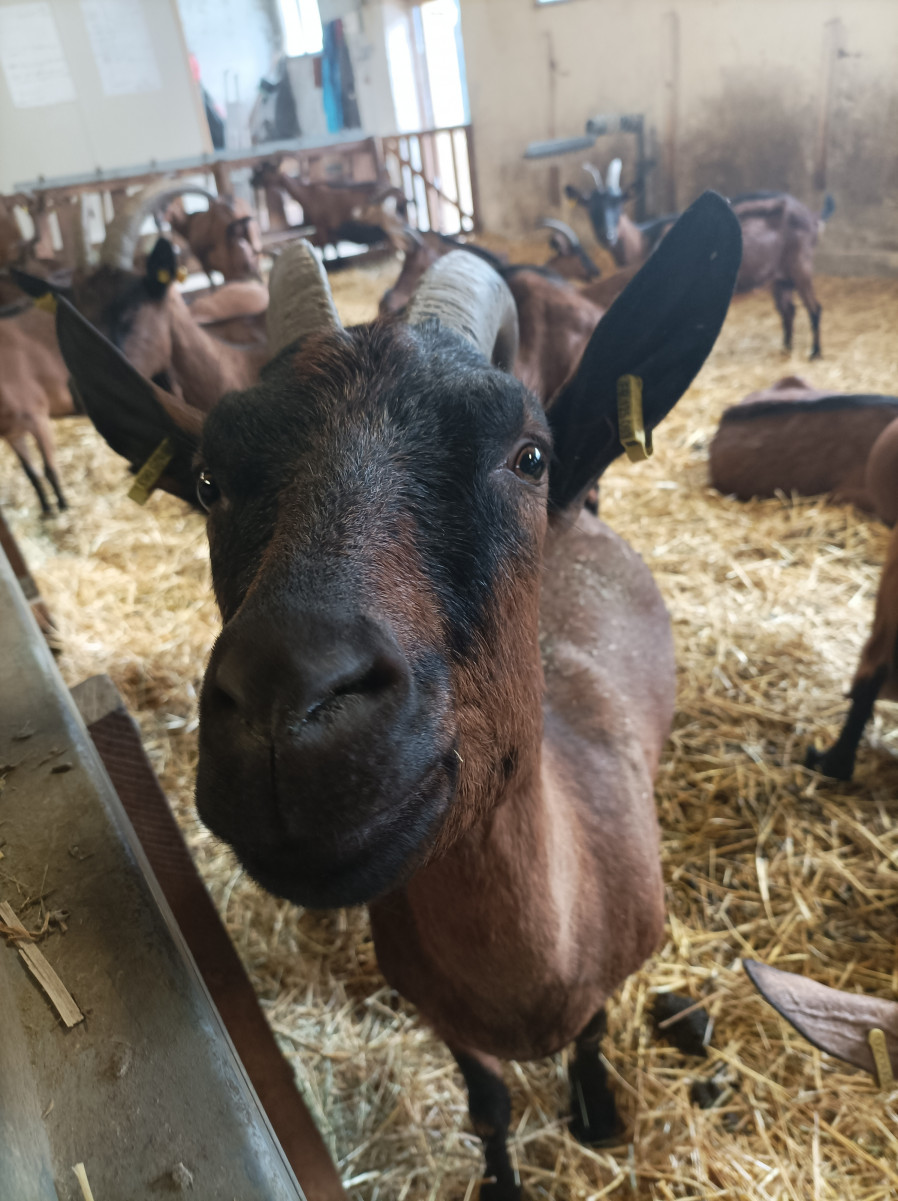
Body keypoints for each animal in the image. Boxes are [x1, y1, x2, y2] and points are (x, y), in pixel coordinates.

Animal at [57, 192, 744, 1196]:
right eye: (210, 480)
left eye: (528, 454)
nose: (287, 705)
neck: (531, 966)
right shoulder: (442, 1016)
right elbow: (488, 1104)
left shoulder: (611, 973)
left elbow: (592, 1032)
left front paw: (598, 1112)